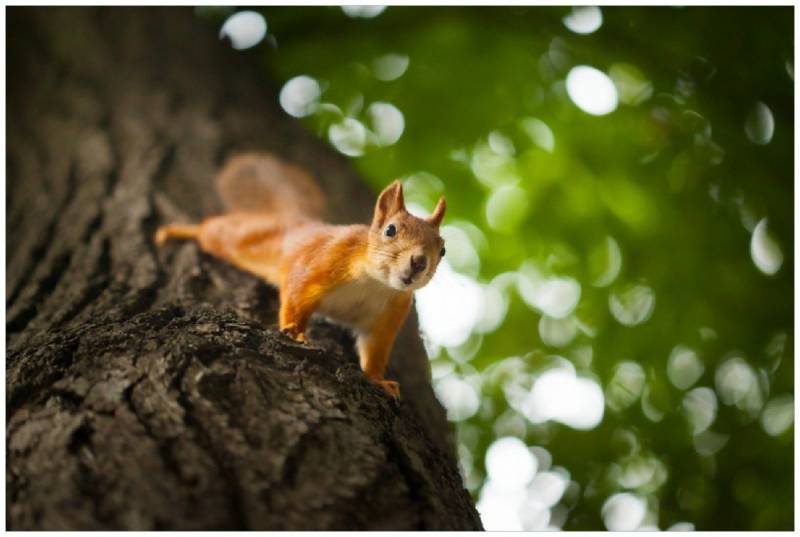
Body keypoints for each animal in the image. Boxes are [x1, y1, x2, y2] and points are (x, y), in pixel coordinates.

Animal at [153, 152, 446, 398]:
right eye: (390, 230)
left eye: (442, 250)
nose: (419, 262)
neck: (375, 283)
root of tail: (295, 220)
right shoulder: (318, 264)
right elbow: (296, 297)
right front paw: (294, 333)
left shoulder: (387, 316)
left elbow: (374, 351)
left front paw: (378, 379)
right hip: (236, 236)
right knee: (209, 229)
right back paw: (177, 231)